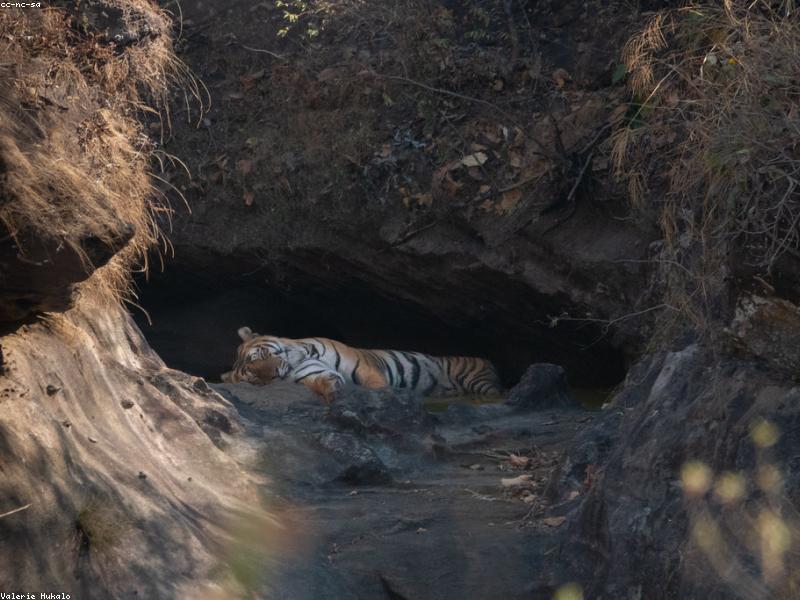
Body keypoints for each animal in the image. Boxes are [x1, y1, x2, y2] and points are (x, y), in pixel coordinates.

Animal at [220, 326, 504, 402]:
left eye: (261, 358)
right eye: (256, 379)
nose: (273, 376)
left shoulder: (362, 366)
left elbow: (376, 384)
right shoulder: (310, 373)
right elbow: (322, 380)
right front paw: (333, 391)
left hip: (477, 380)